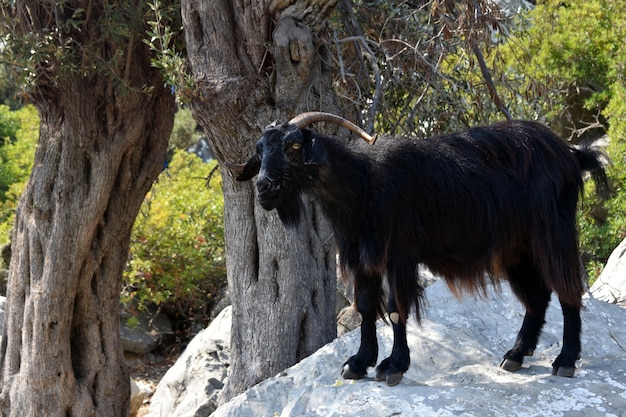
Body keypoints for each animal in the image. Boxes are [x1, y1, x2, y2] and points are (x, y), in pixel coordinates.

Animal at [228, 112, 604, 386]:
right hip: (516, 248)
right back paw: (515, 354)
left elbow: (396, 309)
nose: (264, 188)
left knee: (568, 290)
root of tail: (572, 155)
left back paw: (565, 360)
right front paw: (358, 363)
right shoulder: (363, 258)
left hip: (553, 232)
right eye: (259, 151)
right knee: (537, 296)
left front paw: (393, 365)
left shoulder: (399, 253)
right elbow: (365, 308)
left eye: (294, 146)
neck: (363, 182)